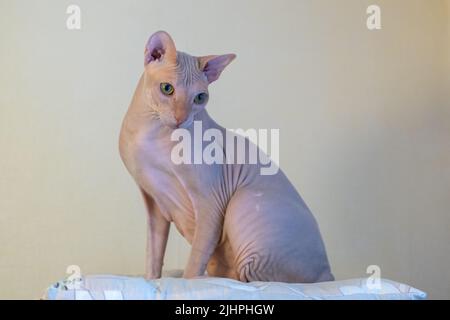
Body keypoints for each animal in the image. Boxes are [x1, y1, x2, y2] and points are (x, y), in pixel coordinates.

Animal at [119, 30, 334, 282]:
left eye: (200, 98)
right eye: (167, 89)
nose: (182, 119)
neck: (150, 133)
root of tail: (329, 273)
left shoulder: (211, 200)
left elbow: (194, 262)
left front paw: (186, 281)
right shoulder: (154, 203)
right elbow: (153, 259)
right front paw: (153, 280)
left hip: (242, 200)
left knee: (252, 279)